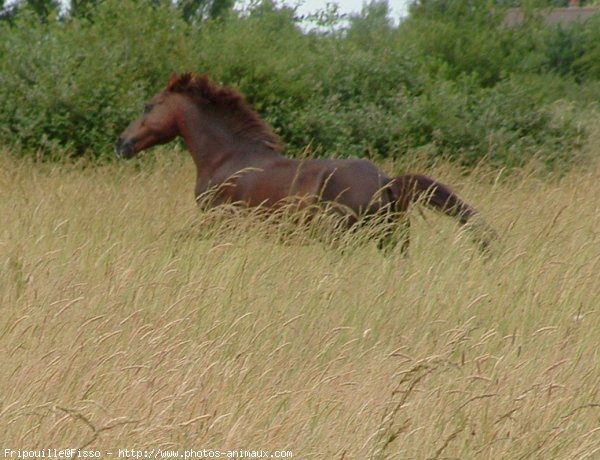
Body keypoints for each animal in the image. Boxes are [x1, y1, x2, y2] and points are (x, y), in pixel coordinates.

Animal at [115, 72, 494, 253]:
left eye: (149, 106)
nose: (121, 143)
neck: (227, 156)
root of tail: (387, 182)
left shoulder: (219, 221)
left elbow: (178, 239)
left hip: (344, 237)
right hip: (392, 239)